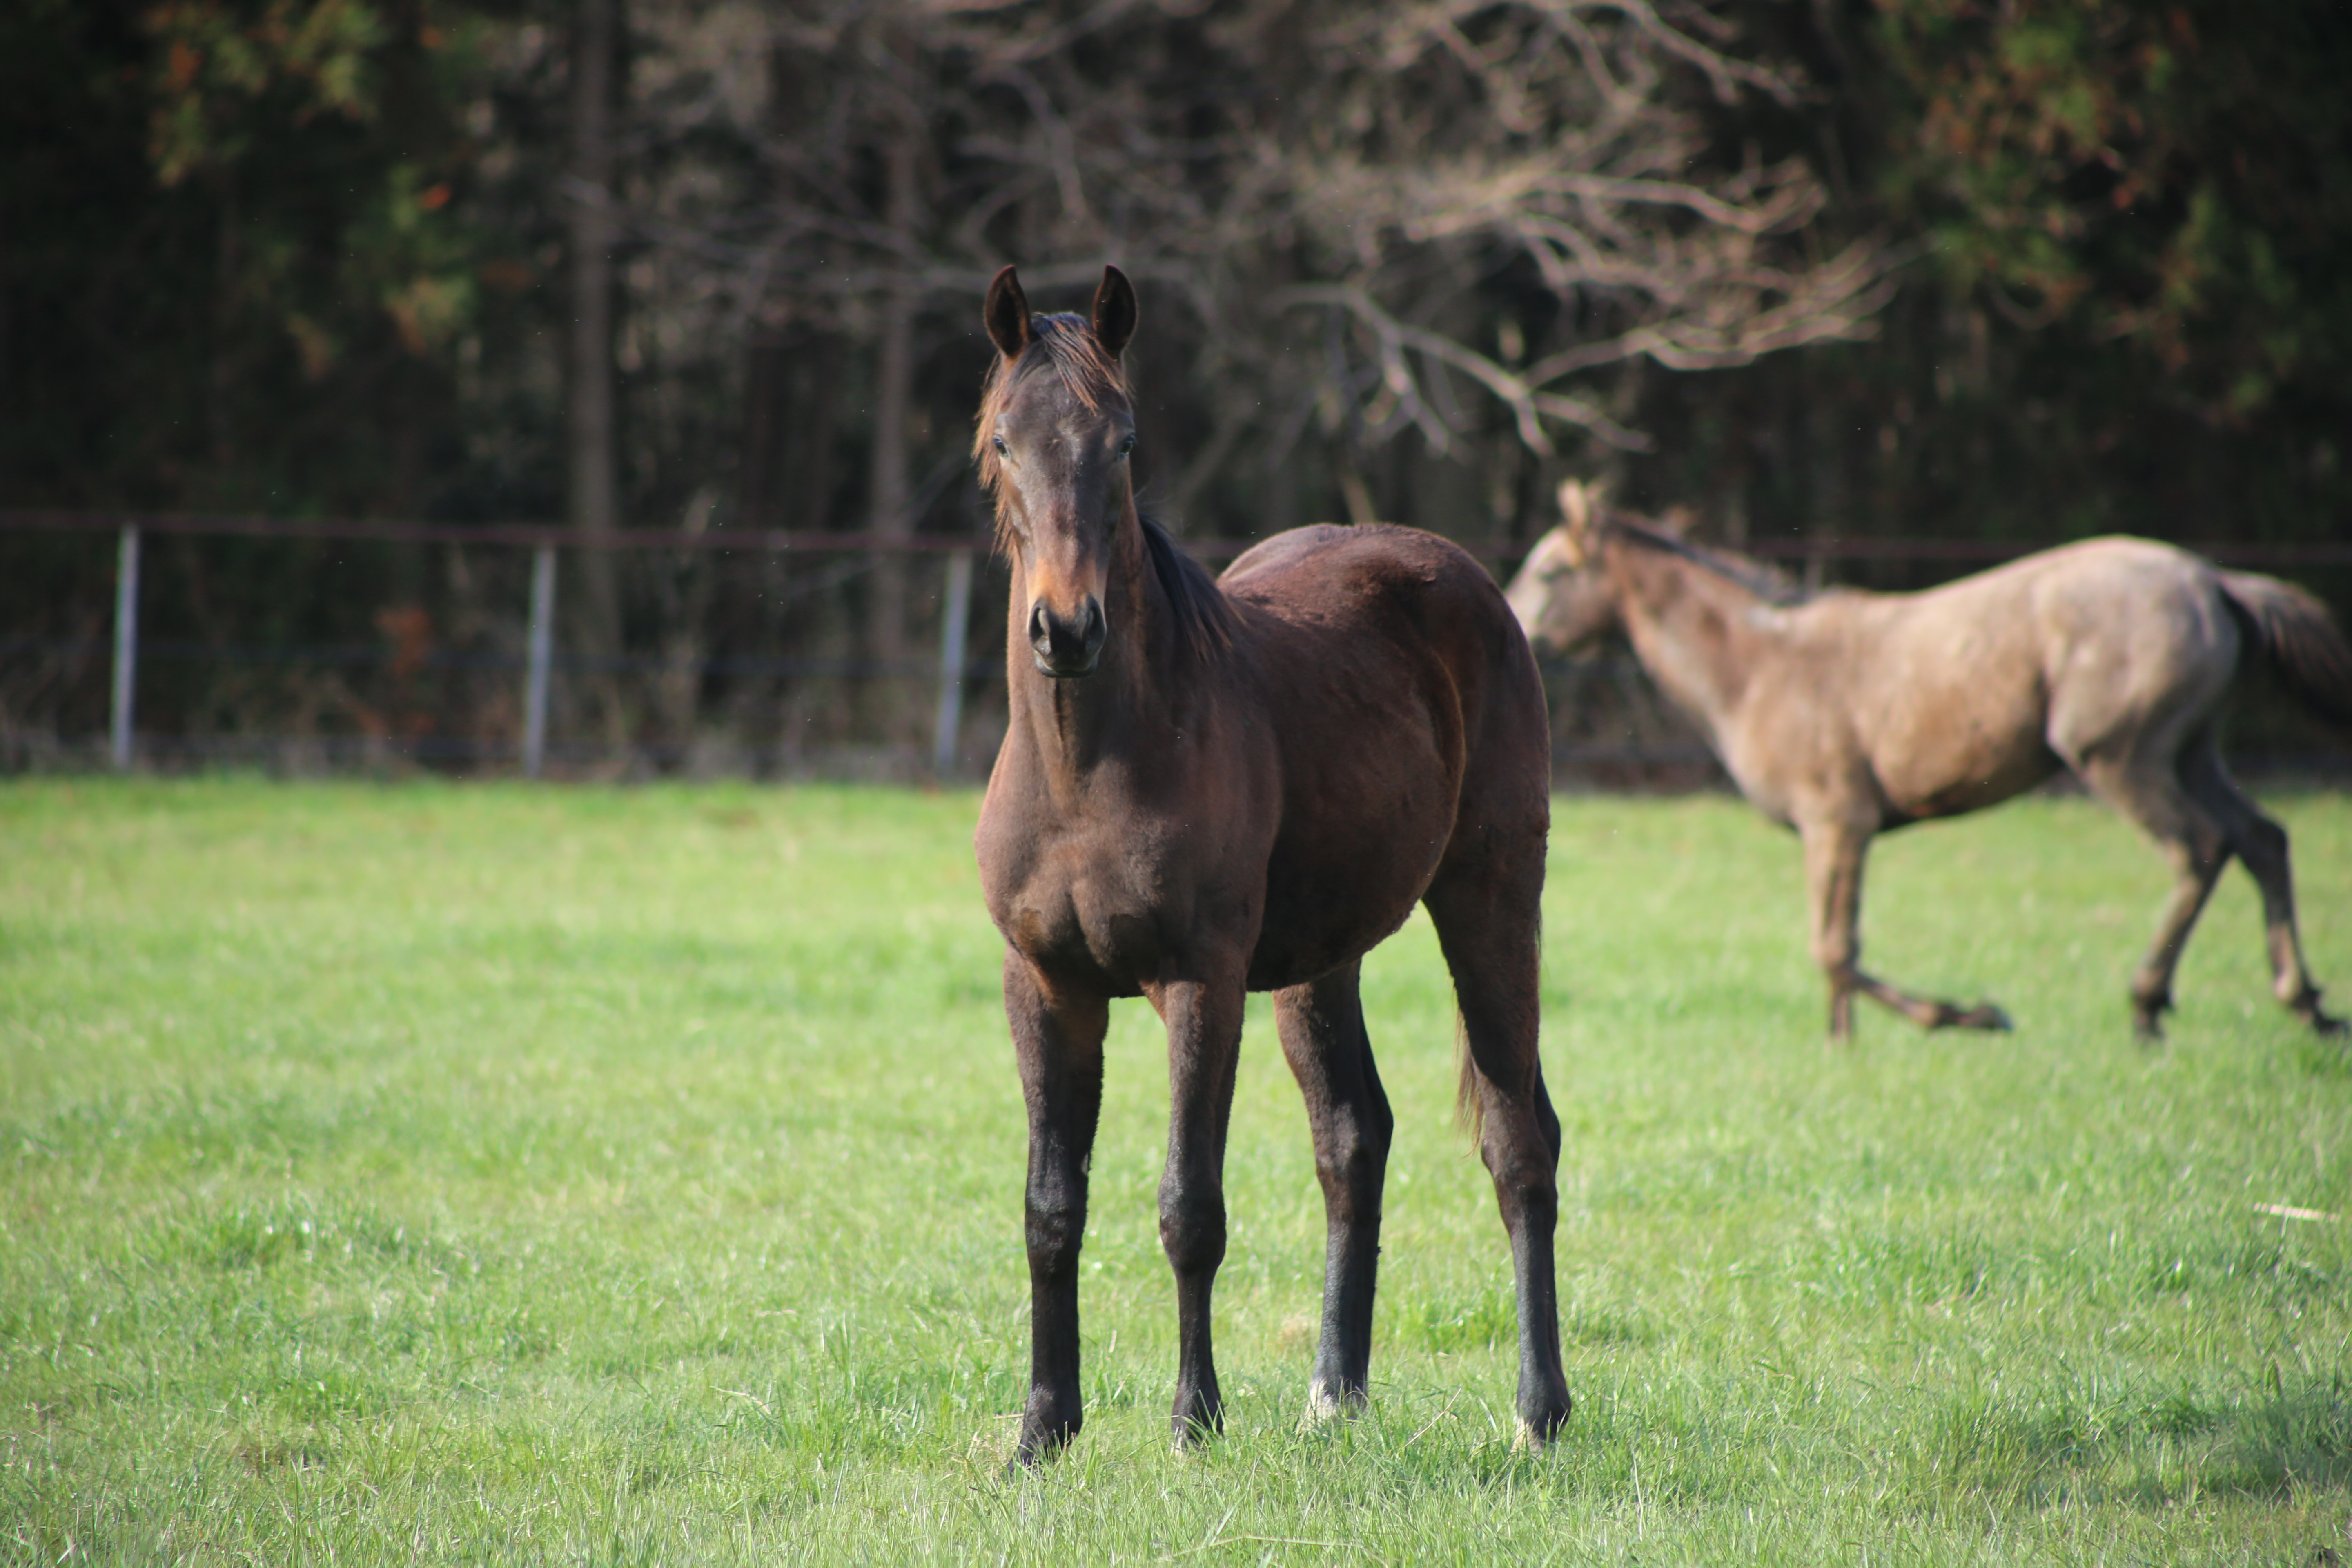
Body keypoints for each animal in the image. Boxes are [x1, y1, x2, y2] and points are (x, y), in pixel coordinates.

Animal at [964, 267, 1571, 1457]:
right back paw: (1335, 1392)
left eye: (1123, 441)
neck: (1088, 771)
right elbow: (1051, 1208)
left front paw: (1193, 1419)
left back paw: (1539, 1411)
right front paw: (1043, 1428)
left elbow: (1188, 1207)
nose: (1066, 629)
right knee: (1352, 1137)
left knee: (1520, 1141)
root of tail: (1462, 578)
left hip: (1487, 899)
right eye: (1005, 442)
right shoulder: (1046, 985)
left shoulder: (1199, 982)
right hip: (1316, 965)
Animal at [1505, 479, 2352, 1044]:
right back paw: (2305, 1002)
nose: (1511, 626)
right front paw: (1850, 1039)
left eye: (1551, 572)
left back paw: (2148, 1005)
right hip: (2192, 750)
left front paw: (1963, 1015)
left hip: (2121, 758)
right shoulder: (1840, 830)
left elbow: (1835, 948)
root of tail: (2214, 581)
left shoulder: (1837, 822)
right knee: (2262, 839)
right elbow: (1839, 951)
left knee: (2200, 850)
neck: (1762, 666)